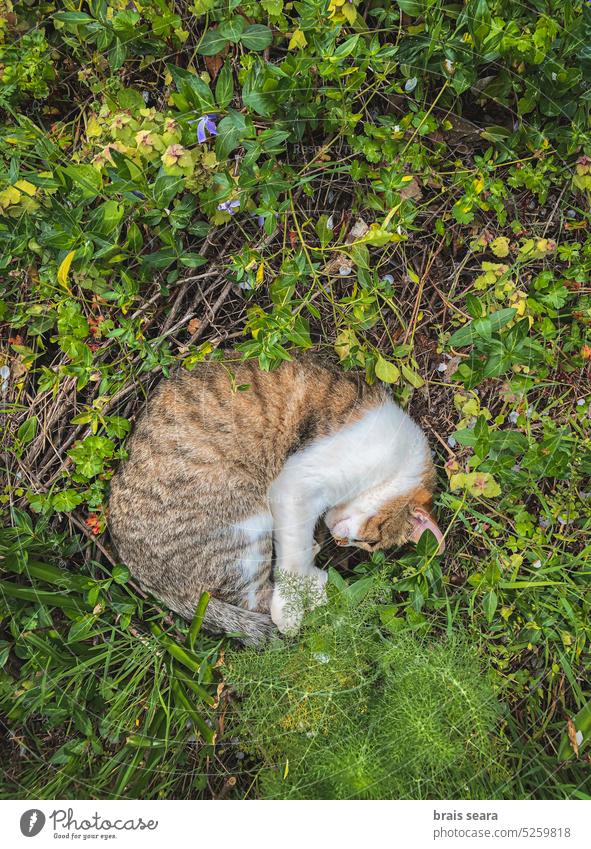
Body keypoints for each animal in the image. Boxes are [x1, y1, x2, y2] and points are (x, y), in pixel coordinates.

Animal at [110, 352, 444, 644]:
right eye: (370, 542)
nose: (339, 541)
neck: (397, 463)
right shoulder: (295, 483)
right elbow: (292, 557)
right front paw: (290, 609)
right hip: (244, 525)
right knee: (255, 601)